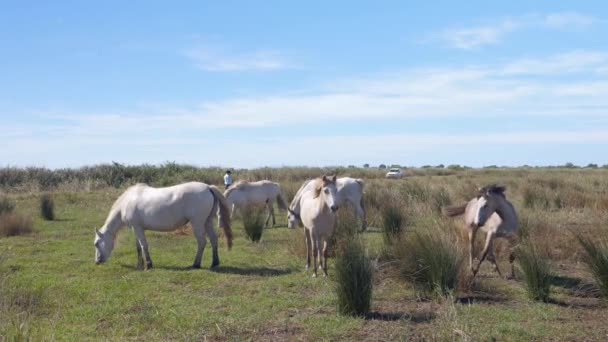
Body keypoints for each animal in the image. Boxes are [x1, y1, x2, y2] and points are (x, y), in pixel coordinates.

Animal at [94, 182, 233, 270]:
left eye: (96, 243)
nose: (97, 261)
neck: (127, 202)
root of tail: (208, 187)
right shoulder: (136, 229)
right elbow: (138, 247)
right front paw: (139, 265)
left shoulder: (137, 228)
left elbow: (144, 246)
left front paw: (148, 265)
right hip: (207, 222)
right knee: (213, 239)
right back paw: (214, 262)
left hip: (197, 223)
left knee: (202, 242)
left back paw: (196, 264)